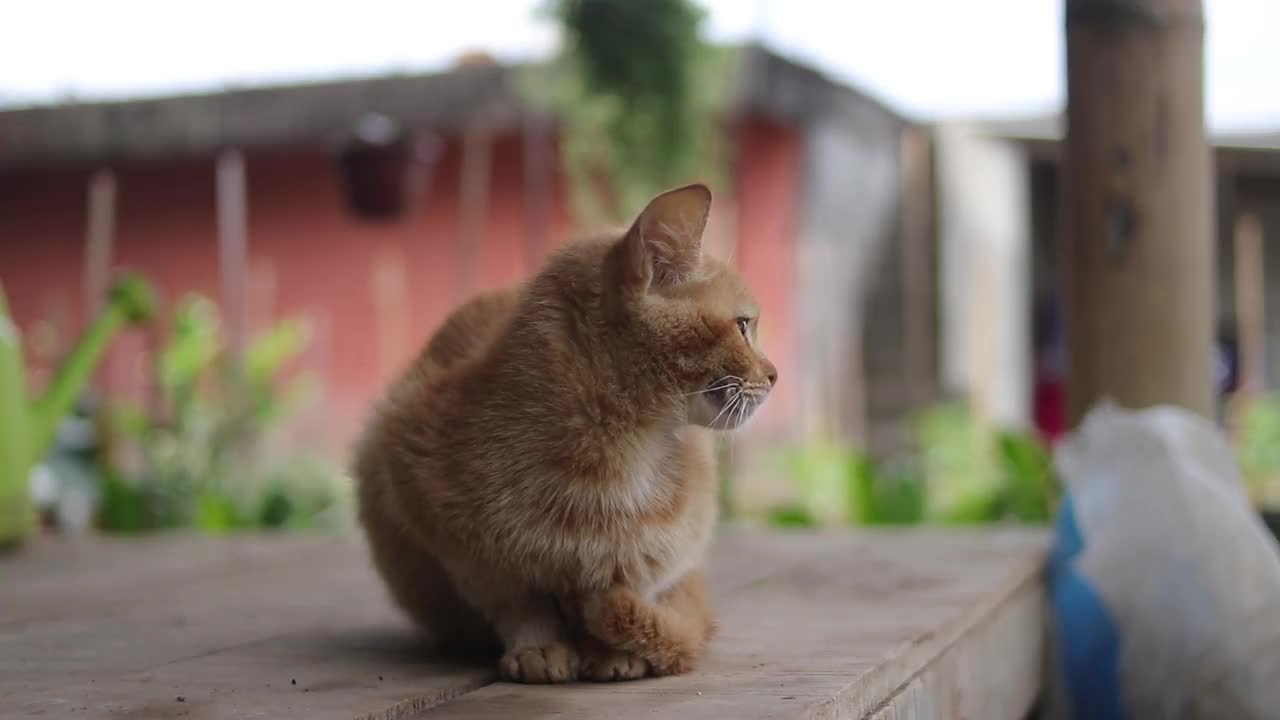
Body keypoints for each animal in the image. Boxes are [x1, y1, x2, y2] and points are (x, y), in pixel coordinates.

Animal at [350, 181, 773, 681]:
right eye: (743, 325)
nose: (774, 375)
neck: (618, 453)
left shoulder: (662, 559)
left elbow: (631, 589)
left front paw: (611, 651)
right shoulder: (446, 525)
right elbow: (520, 602)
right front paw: (540, 646)